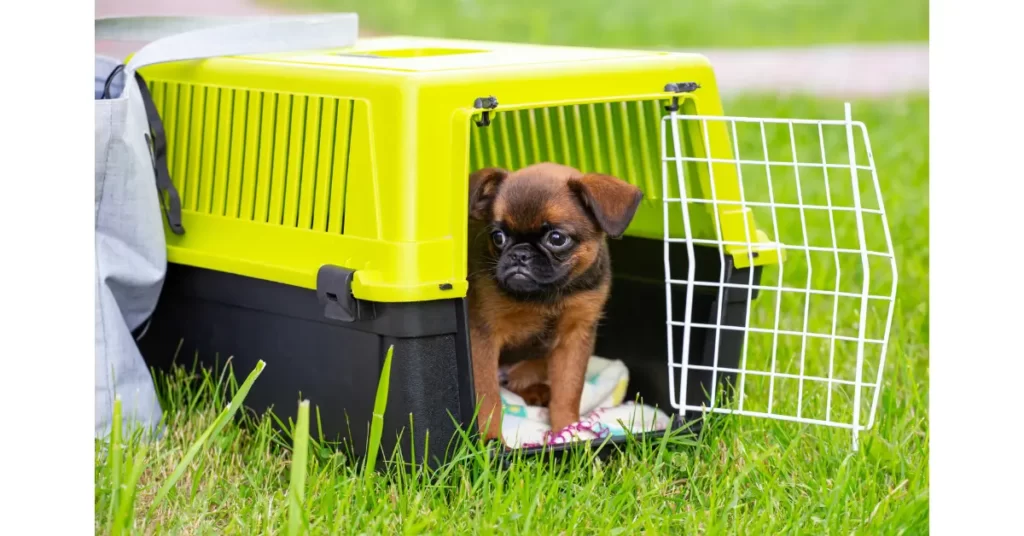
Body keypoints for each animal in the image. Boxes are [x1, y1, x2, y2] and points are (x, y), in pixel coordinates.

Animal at [464, 162, 638, 444]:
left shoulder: (574, 338)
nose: (520, 255)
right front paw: (491, 442)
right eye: (498, 237)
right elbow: (488, 398)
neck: (545, 296)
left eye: (557, 239)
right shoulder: (483, 338)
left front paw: (568, 431)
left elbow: (568, 390)